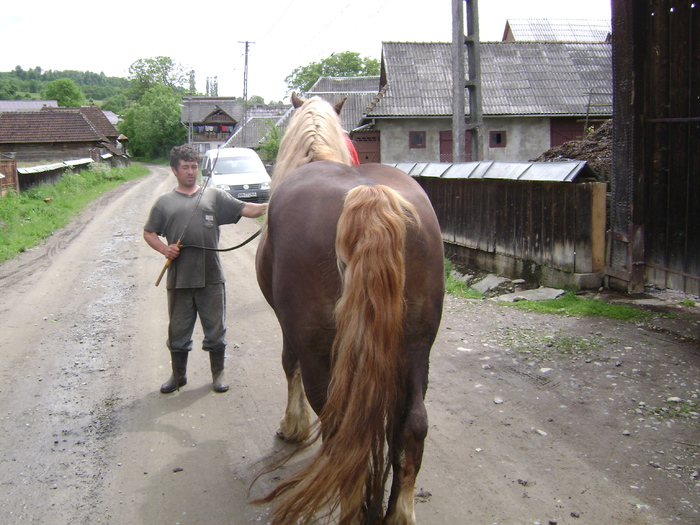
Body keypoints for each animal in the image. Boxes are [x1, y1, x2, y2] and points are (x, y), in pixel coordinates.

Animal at [256, 92, 442, 520]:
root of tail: (370, 195)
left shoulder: (290, 331)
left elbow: (287, 365)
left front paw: (292, 426)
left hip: (320, 351)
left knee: (341, 434)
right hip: (416, 346)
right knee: (412, 425)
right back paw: (398, 514)